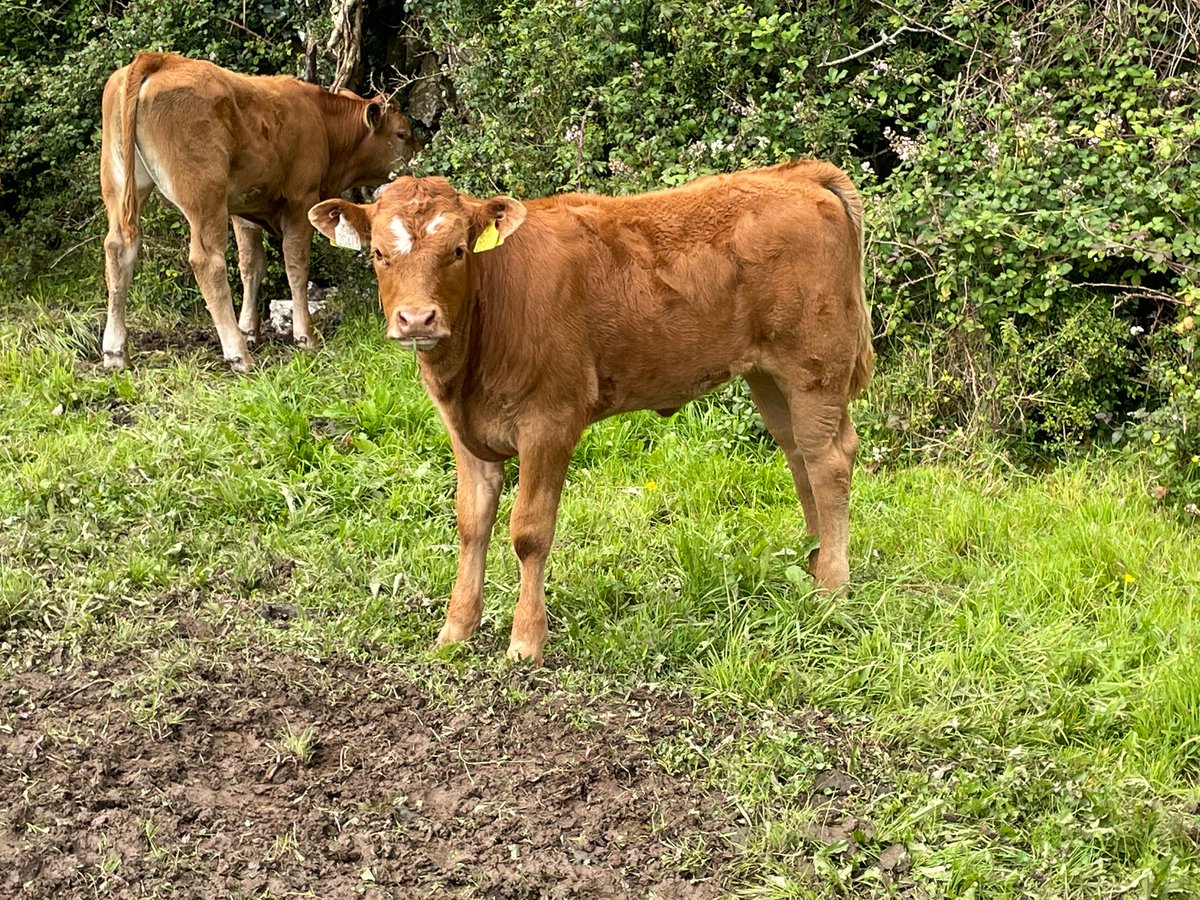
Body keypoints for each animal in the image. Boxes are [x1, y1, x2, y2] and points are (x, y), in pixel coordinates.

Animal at [99, 51, 419, 372]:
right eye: (402, 134)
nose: (416, 166)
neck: (322, 122)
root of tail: (161, 60)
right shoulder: (301, 201)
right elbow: (296, 266)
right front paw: (305, 335)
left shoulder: (244, 207)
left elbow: (251, 265)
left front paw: (250, 329)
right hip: (204, 197)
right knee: (208, 263)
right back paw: (238, 354)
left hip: (119, 183)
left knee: (118, 248)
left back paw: (115, 352)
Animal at [310, 161, 874, 664]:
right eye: (378, 254)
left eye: (457, 251)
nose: (416, 319)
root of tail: (795, 174)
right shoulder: (465, 434)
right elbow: (472, 523)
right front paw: (456, 630)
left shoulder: (550, 421)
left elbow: (529, 531)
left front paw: (526, 641)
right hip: (769, 374)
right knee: (798, 453)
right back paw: (811, 560)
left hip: (815, 363)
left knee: (829, 458)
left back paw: (831, 585)